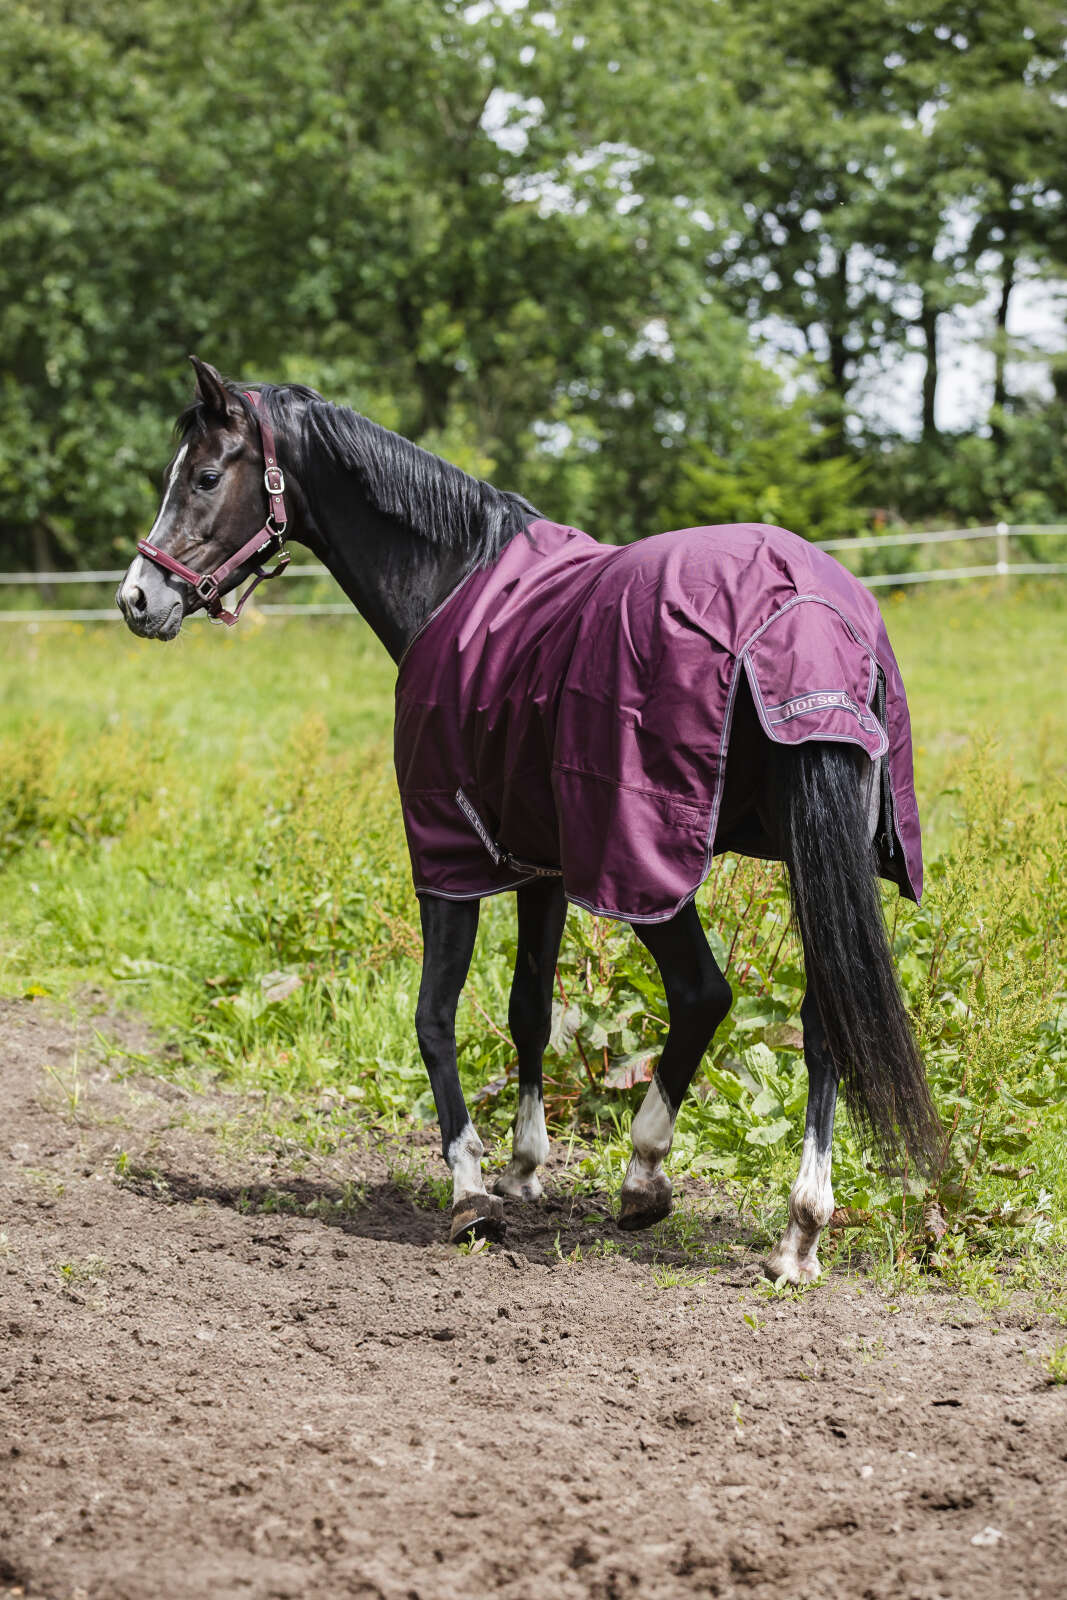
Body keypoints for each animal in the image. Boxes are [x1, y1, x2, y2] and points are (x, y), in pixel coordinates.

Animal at [117, 357, 941, 1284]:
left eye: (204, 476)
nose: (137, 599)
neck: (453, 579)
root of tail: (805, 615)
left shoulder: (448, 855)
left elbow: (434, 1016)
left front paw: (471, 1190)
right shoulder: (538, 863)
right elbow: (528, 1010)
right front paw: (522, 1168)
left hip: (646, 865)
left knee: (702, 992)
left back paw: (655, 1177)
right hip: (812, 860)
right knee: (820, 1017)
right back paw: (797, 1228)